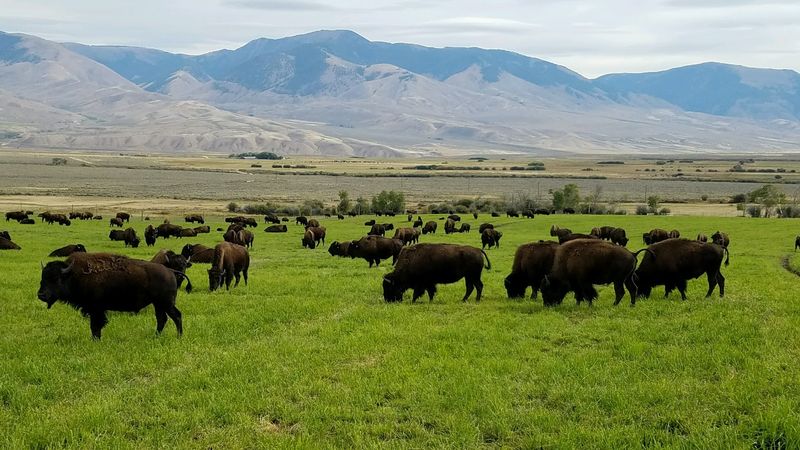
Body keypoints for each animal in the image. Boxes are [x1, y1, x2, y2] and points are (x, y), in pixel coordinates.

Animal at [37, 253, 184, 339]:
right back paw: (156, 336)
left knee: (176, 316)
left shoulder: (95, 309)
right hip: (158, 304)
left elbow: (95, 326)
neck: (73, 275)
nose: (41, 295)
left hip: (166, 303)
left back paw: (179, 336)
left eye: (55, 279)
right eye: (43, 278)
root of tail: (170, 271)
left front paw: (95, 340)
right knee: (162, 319)